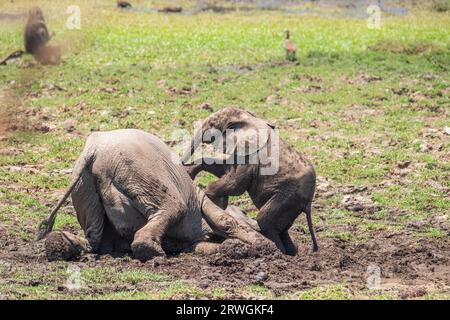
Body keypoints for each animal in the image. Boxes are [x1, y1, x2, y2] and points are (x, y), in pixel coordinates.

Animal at [37, 129, 268, 262]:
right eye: (244, 214)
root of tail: (92, 150)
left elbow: (197, 245)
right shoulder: (200, 197)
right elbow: (226, 221)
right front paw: (261, 245)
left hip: (83, 185)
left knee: (93, 238)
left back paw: (58, 245)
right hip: (140, 170)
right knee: (173, 207)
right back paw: (154, 253)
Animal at [181, 107, 318, 255]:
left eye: (212, 124)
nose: (182, 163)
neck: (247, 119)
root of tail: (308, 204)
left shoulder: (251, 156)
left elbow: (236, 184)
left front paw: (215, 198)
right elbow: (224, 170)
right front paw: (190, 173)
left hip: (288, 196)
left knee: (264, 220)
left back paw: (278, 251)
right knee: (282, 229)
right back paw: (292, 253)